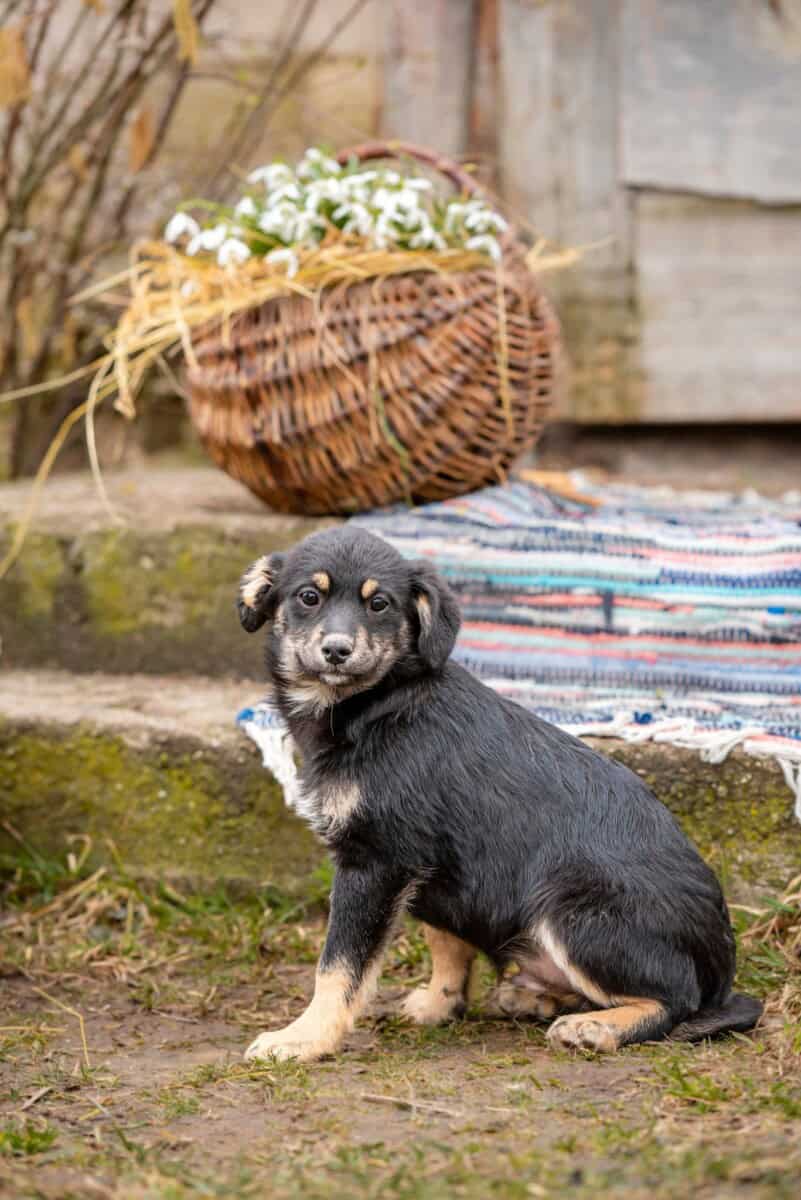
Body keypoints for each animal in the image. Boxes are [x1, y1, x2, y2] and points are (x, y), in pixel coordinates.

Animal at [237, 526, 762, 1062]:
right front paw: (439, 1004)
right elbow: (445, 943)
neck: (377, 706)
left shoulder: (377, 862)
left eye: (379, 604)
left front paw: (303, 1038)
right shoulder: (429, 866)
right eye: (309, 597)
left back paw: (594, 1027)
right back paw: (538, 998)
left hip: (573, 907)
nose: (337, 650)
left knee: (678, 999)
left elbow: (339, 966)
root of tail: (723, 966)